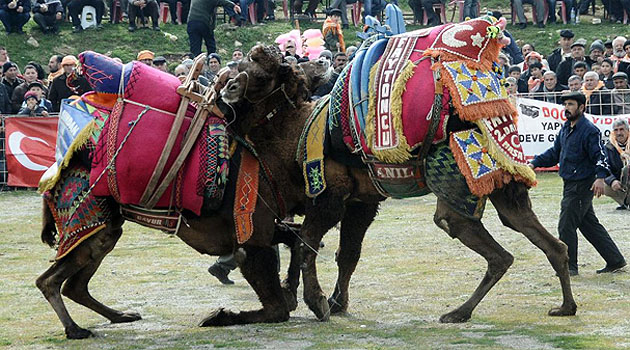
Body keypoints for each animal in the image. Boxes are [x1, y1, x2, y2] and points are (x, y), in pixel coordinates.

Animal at [35, 55, 330, 340]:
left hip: (106, 229)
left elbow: (297, 239)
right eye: (287, 66)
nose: (323, 61)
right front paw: (217, 316)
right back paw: (75, 330)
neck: (267, 160)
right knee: (48, 281)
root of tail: (54, 173)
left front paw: (302, 295)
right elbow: (276, 309)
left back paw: (120, 315)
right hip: (88, 222)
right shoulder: (250, 235)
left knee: (75, 285)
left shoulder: (262, 228)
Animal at [221, 28, 576, 324]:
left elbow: (309, 242)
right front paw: (334, 302)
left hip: (459, 182)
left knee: (490, 248)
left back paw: (458, 312)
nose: (228, 84)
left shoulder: (329, 197)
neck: (296, 135)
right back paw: (565, 306)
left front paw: (318, 303)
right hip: (504, 184)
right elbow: (346, 253)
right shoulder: (361, 201)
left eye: (261, 69)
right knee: (549, 243)